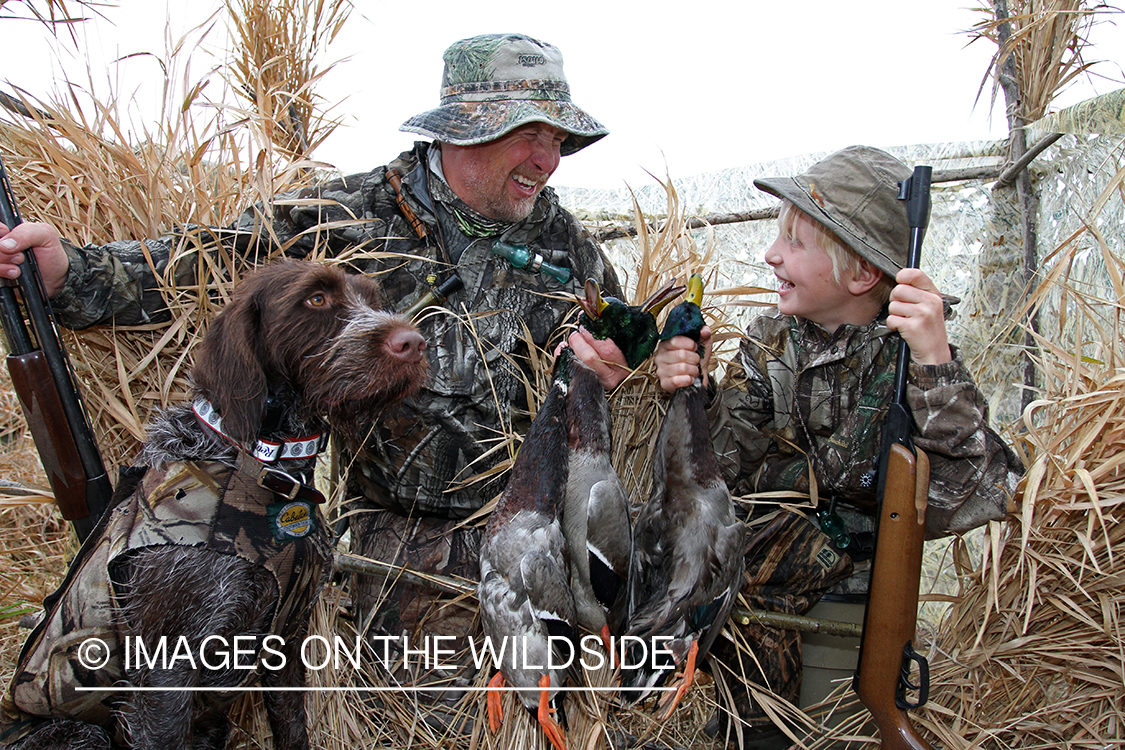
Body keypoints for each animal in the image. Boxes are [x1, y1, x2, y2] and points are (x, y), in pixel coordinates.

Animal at [3, 259, 425, 750]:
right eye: (316, 298)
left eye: (374, 300)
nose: (414, 343)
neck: (260, 462)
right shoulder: (165, 671)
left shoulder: (286, 639)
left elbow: (292, 727)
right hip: (78, 732)